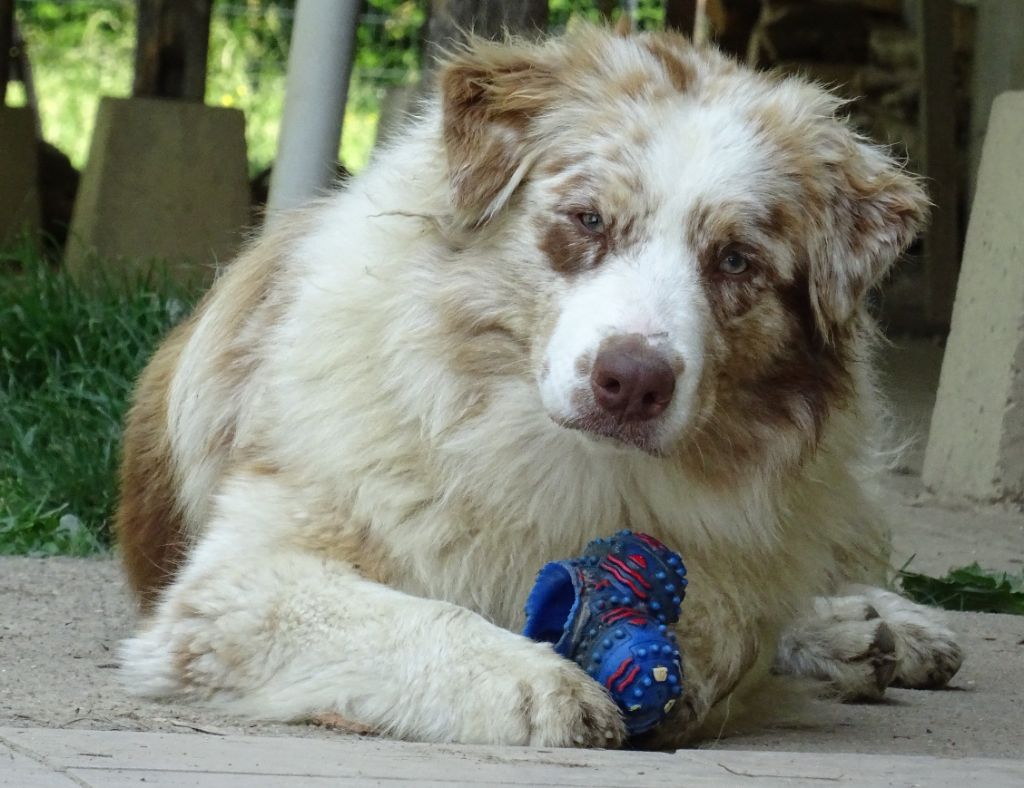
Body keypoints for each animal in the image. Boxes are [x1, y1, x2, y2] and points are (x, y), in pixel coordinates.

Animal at [117, 27, 958, 745]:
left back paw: (878, 624)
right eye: (587, 219)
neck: (574, 469)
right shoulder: (233, 589)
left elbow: (732, 628)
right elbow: (425, 618)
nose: (633, 382)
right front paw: (539, 682)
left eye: (735, 259)